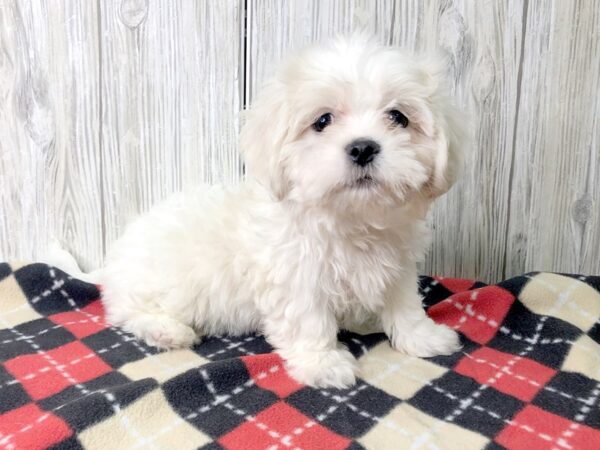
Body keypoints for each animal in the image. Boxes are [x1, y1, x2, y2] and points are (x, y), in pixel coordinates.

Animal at [99, 37, 464, 388]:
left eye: (398, 117)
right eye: (322, 121)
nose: (362, 147)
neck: (352, 220)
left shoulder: (398, 267)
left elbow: (404, 304)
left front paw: (422, 337)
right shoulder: (296, 276)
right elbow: (308, 320)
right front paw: (323, 364)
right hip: (157, 284)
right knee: (128, 311)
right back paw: (167, 331)